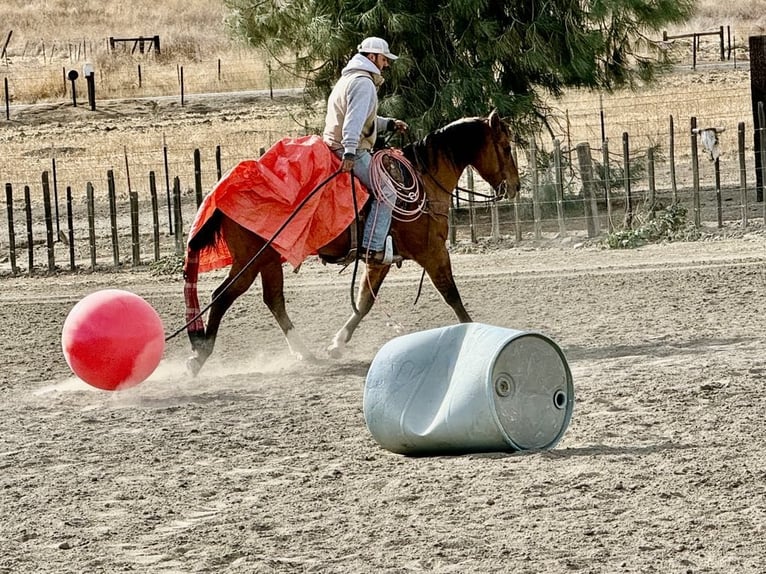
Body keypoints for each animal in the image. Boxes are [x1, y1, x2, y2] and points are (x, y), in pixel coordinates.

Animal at [183, 110, 520, 375]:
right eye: (505, 147)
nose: (516, 186)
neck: (424, 182)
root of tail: (221, 191)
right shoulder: (433, 252)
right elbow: (452, 296)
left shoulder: (379, 259)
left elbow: (364, 302)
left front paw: (337, 344)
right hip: (250, 261)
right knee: (222, 296)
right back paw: (200, 356)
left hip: (267, 260)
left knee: (273, 300)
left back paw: (304, 353)